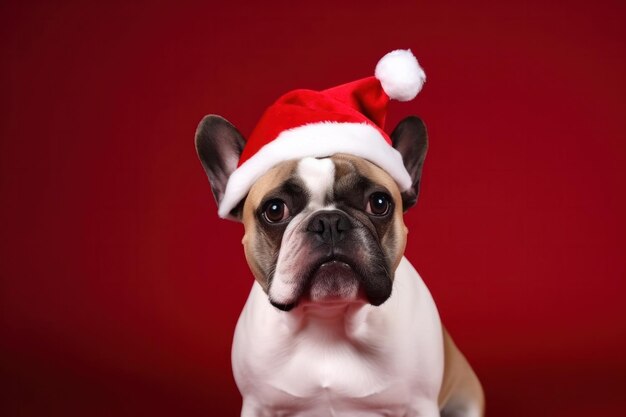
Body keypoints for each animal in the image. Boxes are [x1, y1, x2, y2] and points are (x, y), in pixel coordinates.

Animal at [195, 111, 482, 416]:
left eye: (379, 203)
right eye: (274, 210)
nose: (329, 221)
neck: (329, 318)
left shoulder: (420, 405)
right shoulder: (258, 405)